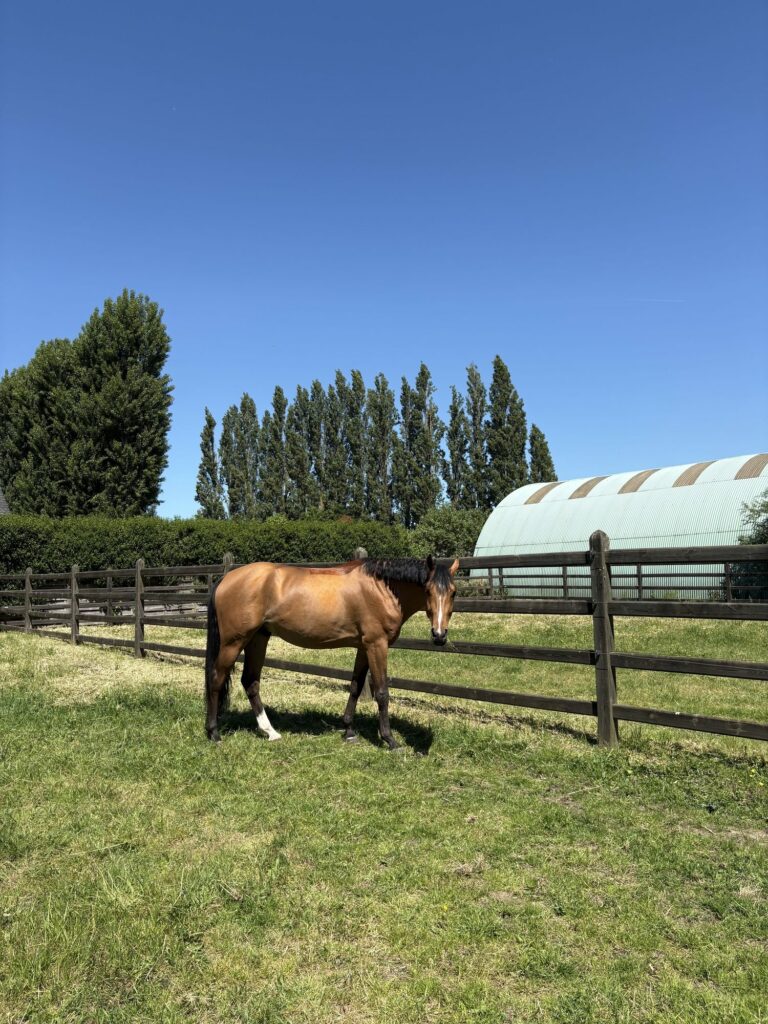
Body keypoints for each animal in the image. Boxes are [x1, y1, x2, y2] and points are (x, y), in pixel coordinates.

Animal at [204, 555, 460, 749]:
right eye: (427, 590)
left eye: (454, 592)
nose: (439, 635)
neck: (381, 588)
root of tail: (227, 578)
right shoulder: (377, 645)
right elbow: (382, 692)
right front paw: (389, 740)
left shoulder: (363, 647)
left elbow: (356, 687)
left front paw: (348, 731)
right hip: (234, 642)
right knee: (216, 679)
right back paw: (214, 733)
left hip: (258, 639)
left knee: (250, 682)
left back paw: (270, 732)